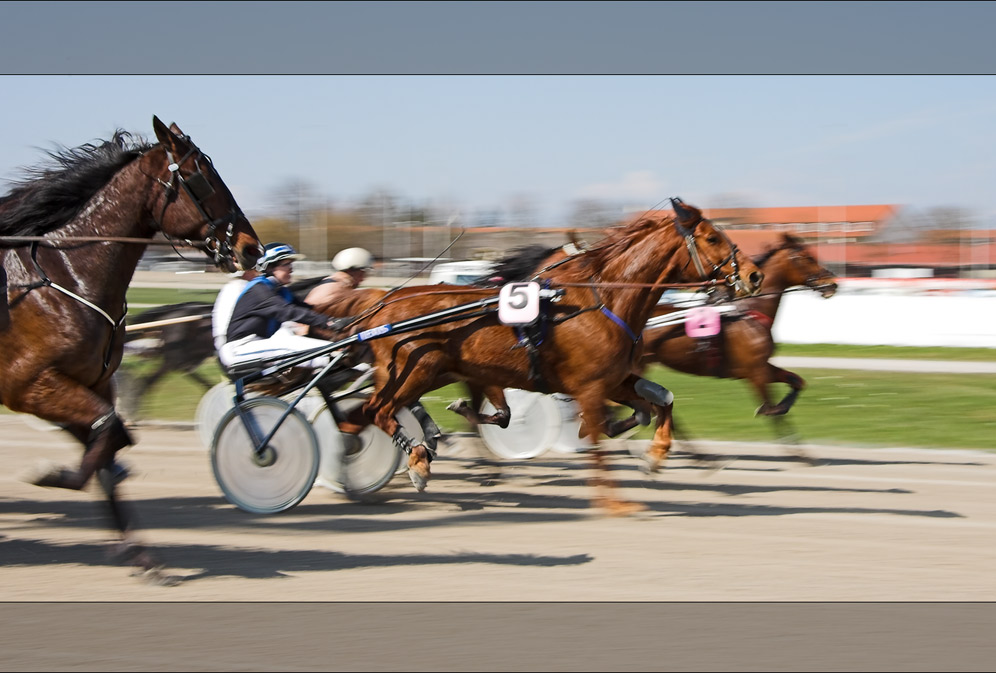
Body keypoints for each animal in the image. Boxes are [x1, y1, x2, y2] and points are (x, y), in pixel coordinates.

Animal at [0, 117, 260, 576]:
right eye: (200, 177)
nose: (251, 247)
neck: (64, 274)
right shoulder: (28, 383)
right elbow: (106, 432)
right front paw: (51, 474)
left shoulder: (94, 382)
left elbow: (109, 438)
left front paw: (141, 556)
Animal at [338, 197, 768, 512]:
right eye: (712, 238)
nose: (753, 275)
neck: (601, 301)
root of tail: (380, 305)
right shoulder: (590, 388)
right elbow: (597, 439)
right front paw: (615, 502)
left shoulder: (612, 380)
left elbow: (662, 399)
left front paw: (656, 454)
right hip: (415, 371)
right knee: (377, 410)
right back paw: (416, 461)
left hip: (433, 373)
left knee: (361, 417)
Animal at [640, 234, 840, 418]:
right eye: (808, 258)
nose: (832, 283)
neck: (749, 313)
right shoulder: (756, 372)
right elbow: (770, 409)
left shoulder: (762, 367)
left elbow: (797, 381)